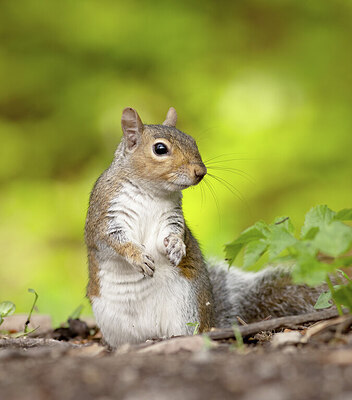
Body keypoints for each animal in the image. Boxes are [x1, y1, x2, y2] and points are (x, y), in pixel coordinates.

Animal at [84, 106, 320, 346]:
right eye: (160, 148)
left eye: (192, 141)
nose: (201, 171)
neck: (150, 191)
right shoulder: (104, 215)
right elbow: (112, 240)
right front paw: (138, 256)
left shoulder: (171, 217)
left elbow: (173, 233)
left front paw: (176, 246)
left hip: (186, 306)